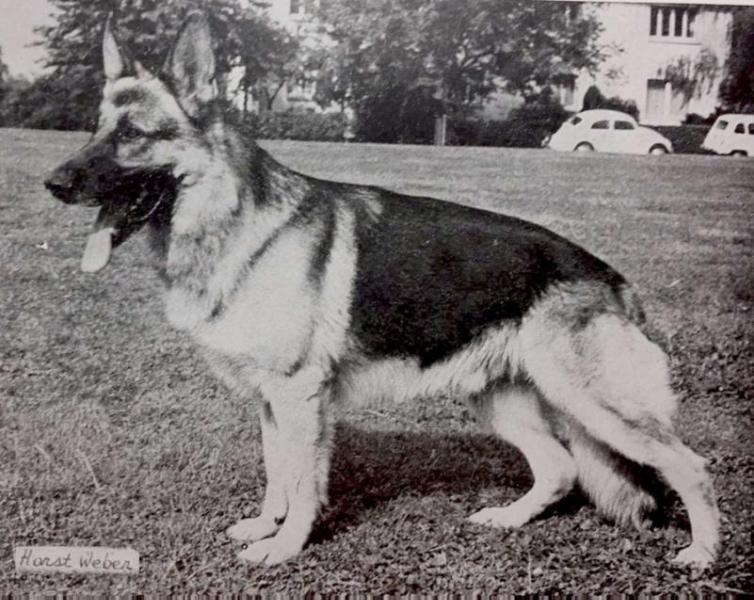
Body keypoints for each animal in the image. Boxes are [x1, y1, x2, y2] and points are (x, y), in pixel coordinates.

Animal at [44, 12, 720, 568]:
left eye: (132, 134)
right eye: (95, 131)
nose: (52, 183)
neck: (235, 224)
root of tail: (614, 279)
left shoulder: (300, 397)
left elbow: (301, 481)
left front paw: (285, 548)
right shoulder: (270, 402)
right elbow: (275, 471)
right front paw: (265, 527)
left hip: (595, 403)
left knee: (691, 467)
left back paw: (702, 554)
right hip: (503, 400)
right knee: (560, 469)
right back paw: (508, 519)